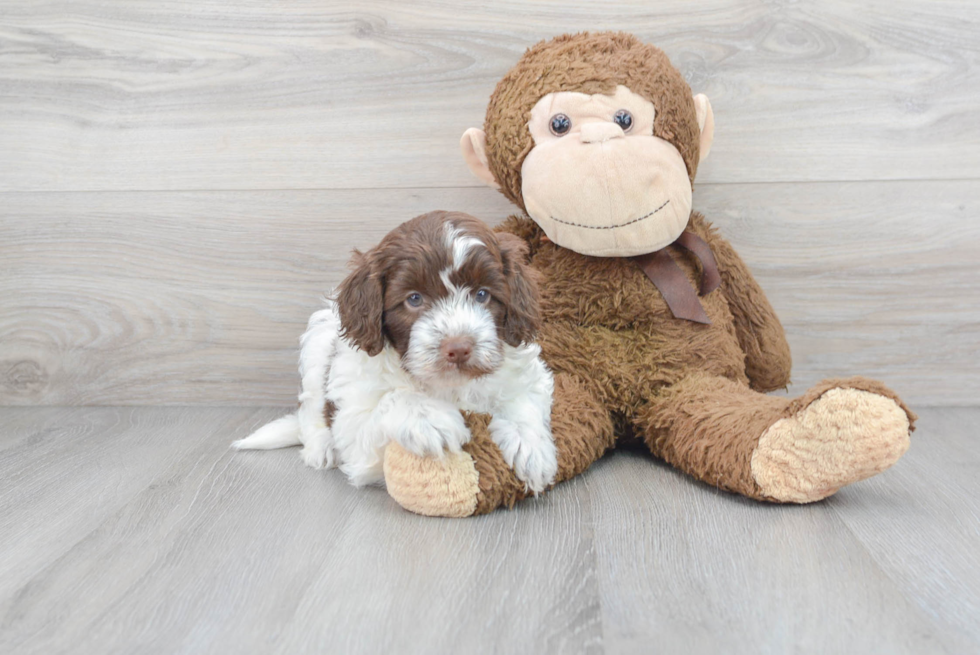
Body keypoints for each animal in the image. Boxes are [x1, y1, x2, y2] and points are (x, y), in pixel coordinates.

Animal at [232, 210, 560, 492]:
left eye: (482, 295)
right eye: (414, 299)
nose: (458, 348)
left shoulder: (531, 376)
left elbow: (523, 400)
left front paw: (530, 447)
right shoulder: (355, 435)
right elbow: (393, 399)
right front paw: (429, 417)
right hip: (318, 341)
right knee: (310, 410)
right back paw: (319, 448)